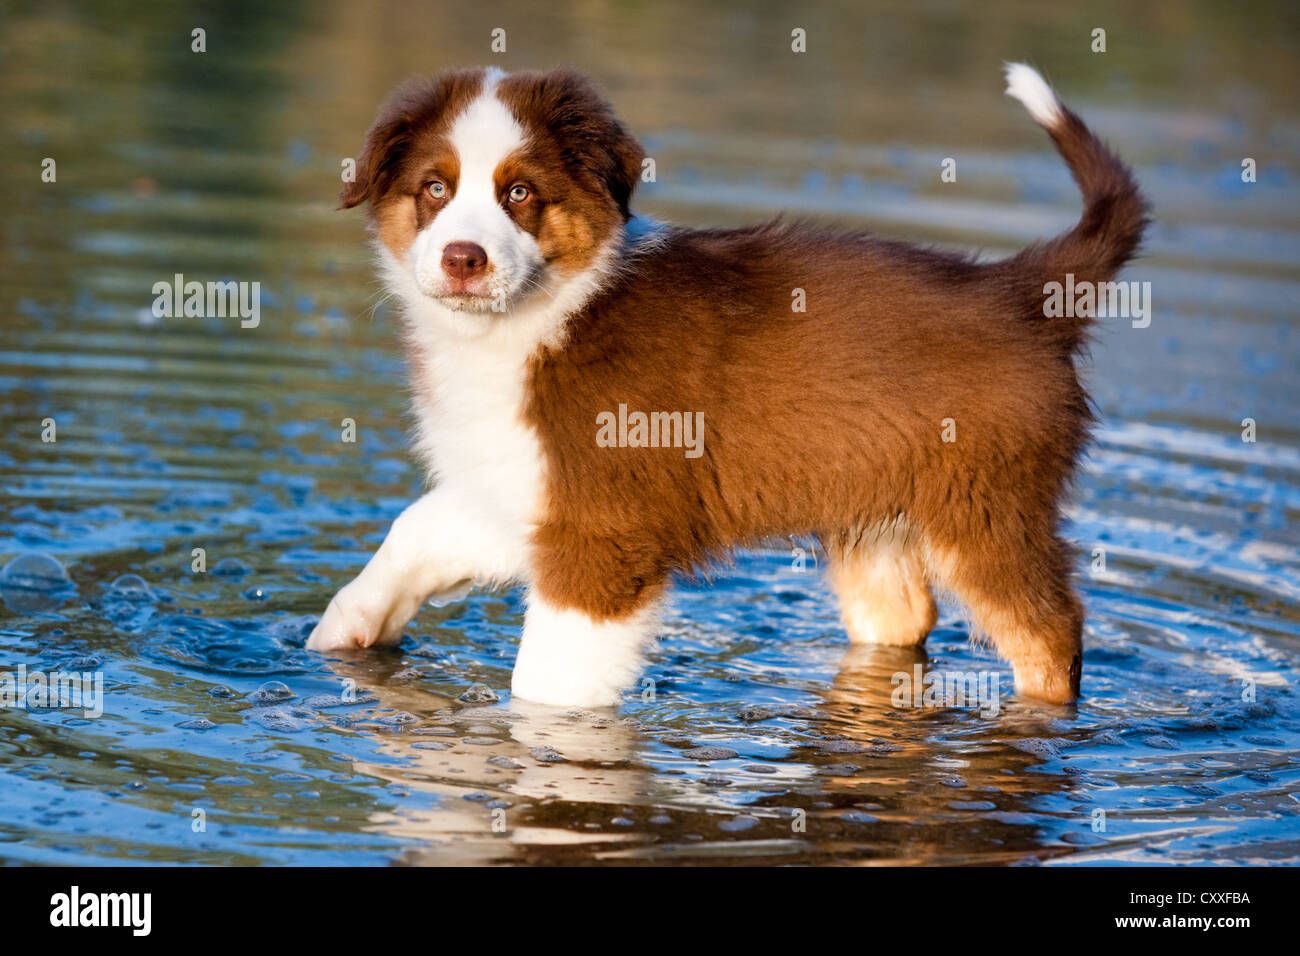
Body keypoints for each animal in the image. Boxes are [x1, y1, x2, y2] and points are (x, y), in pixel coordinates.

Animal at [312, 63, 1149, 712]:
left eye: (519, 194)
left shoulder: (606, 531)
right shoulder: (531, 486)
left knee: (1049, 632)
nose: (463, 258)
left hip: (986, 504)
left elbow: (549, 683)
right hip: (880, 515)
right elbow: (419, 527)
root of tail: (1018, 290)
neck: (545, 315)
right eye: (434, 187)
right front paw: (344, 628)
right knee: (905, 618)